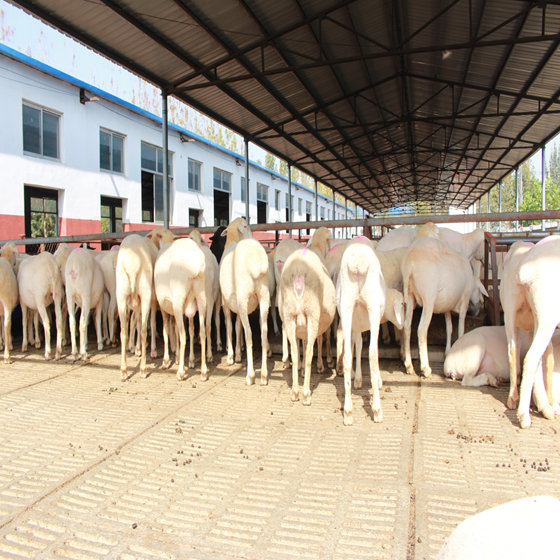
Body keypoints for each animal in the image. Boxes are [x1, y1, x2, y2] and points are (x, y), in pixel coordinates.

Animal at [278, 247, 334, 404]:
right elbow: (320, 341)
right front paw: (321, 365)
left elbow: (302, 343)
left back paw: (295, 392)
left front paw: (302, 371)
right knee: (309, 352)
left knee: (295, 352)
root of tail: (298, 269)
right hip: (312, 312)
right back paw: (306, 394)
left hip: (290, 314)